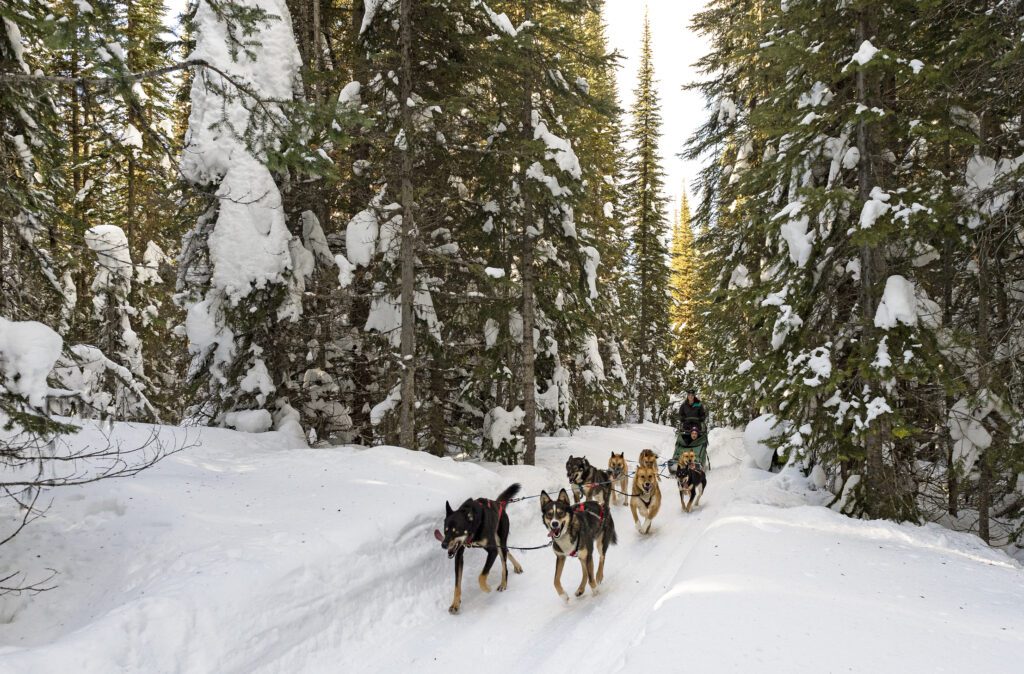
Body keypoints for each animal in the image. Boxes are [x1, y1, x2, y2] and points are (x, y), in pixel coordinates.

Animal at [436, 479, 524, 610]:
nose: (444, 545)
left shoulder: (492, 551)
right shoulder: (459, 555)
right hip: (496, 545)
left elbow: (481, 576)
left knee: (504, 565)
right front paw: (455, 603)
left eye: (456, 531)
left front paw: (486, 588)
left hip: (499, 542)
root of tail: (498, 504)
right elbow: (457, 584)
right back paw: (517, 566)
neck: (475, 525)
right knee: (507, 551)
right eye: (445, 530)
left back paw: (503, 583)